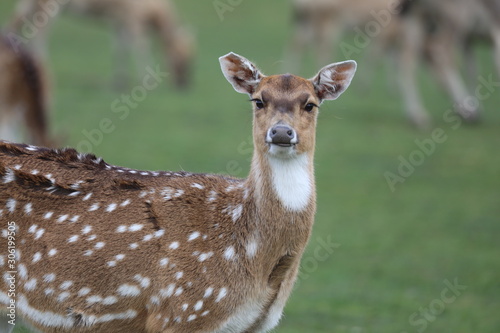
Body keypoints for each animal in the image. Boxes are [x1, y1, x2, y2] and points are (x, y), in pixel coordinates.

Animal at [11, 0, 195, 89]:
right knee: (38, 34)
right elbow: (139, 46)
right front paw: (146, 78)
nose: (184, 85)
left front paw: (119, 81)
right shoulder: (132, 16)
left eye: (193, 59)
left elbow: (120, 48)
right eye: (180, 58)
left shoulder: (118, 20)